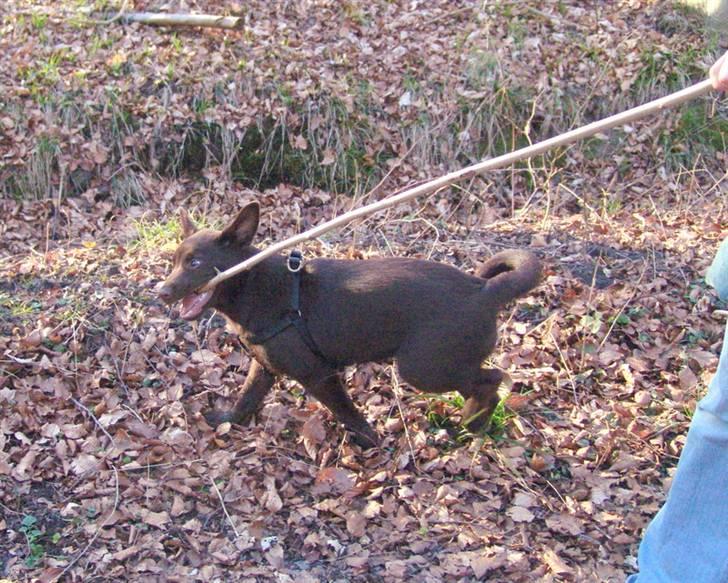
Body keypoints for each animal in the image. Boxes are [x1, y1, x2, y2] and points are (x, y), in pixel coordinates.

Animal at [162, 203, 544, 450]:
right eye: (175, 261)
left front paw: (368, 441)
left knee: (493, 380)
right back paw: (470, 422)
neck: (252, 285)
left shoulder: (319, 375)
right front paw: (227, 419)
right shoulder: (264, 366)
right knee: (485, 382)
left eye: (195, 263)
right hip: (441, 363)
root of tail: (484, 290)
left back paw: (472, 424)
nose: (160, 291)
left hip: (425, 366)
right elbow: (247, 397)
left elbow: (346, 411)